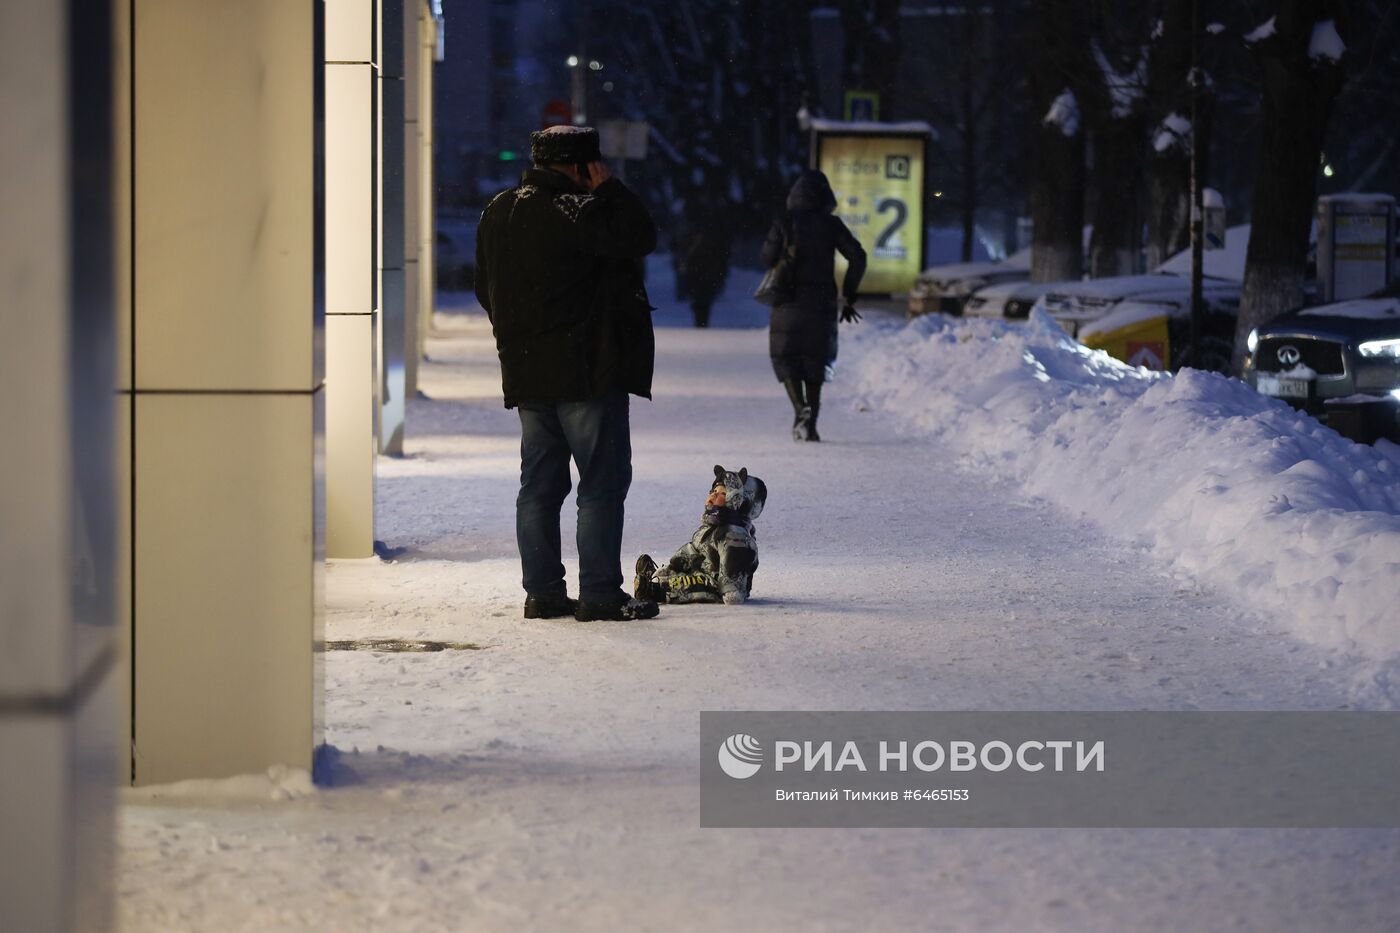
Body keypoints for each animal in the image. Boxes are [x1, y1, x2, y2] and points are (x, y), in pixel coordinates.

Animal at [635, 462, 767, 602]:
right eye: (714, 491)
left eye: (722, 493)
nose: (710, 499)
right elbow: (690, 547)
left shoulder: (734, 535)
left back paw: (646, 585)